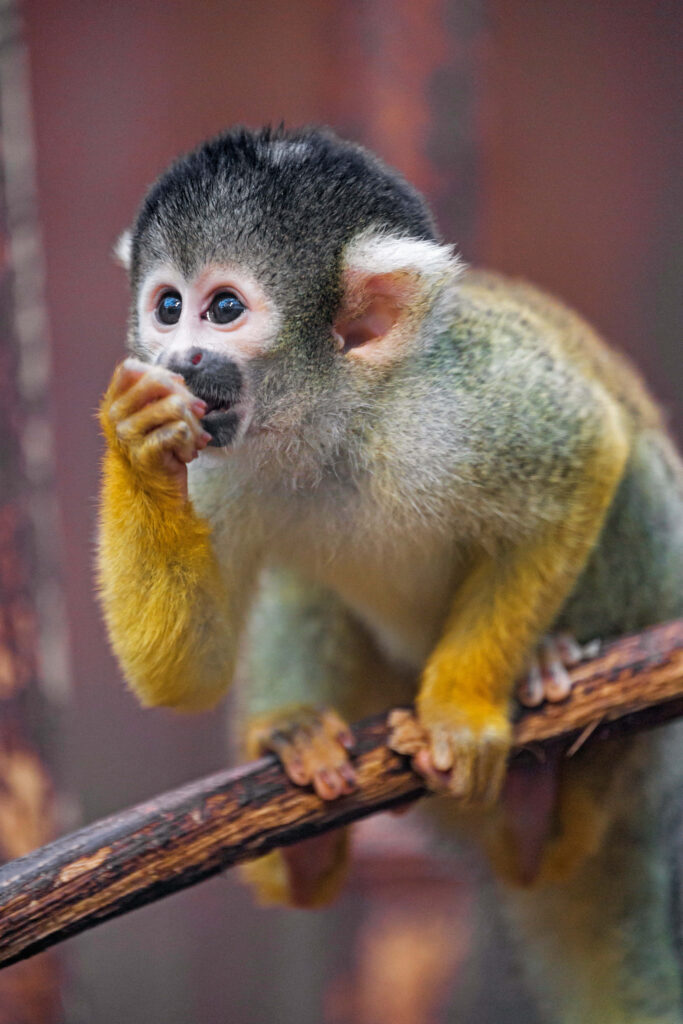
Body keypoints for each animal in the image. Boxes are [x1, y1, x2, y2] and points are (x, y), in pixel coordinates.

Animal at [98, 126, 683, 1023]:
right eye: (166, 306)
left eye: (222, 309)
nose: (177, 355)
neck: (333, 418)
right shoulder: (218, 457)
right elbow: (186, 673)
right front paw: (135, 436)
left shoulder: (460, 401)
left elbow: (588, 448)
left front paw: (460, 711)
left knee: (631, 475)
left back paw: (549, 752)